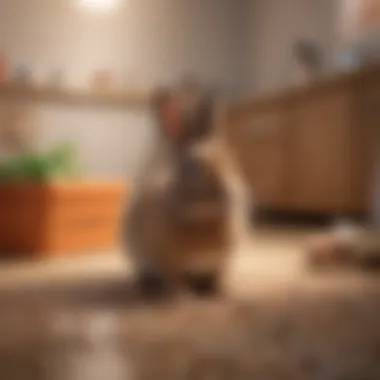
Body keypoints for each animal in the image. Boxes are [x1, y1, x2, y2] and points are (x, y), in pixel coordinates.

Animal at [123, 81, 251, 298]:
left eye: (231, 157)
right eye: (194, 164)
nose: (229, 193)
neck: (202, 219)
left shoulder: (220, 262)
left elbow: (217, 277)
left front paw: (222, 292)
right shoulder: (169, 261)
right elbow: (176, 279)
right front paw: (182, 297)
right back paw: (143, 286)